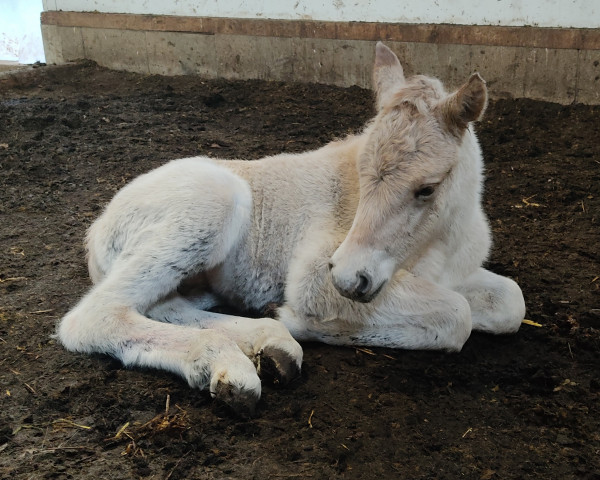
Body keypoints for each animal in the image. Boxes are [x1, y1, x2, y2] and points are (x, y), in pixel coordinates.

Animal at [57, 43, 524, 414]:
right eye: (361, 171)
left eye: (427, 188)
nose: (350, 278)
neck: (437, 247)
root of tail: (98, 228)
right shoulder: (315, 275)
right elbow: (457, 315)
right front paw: (303, 320)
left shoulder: (449, 275)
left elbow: (509, 304)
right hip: (209, 205)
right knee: (94, 316)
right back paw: (234, 363)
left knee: (162, 304)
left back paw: (269, 344)